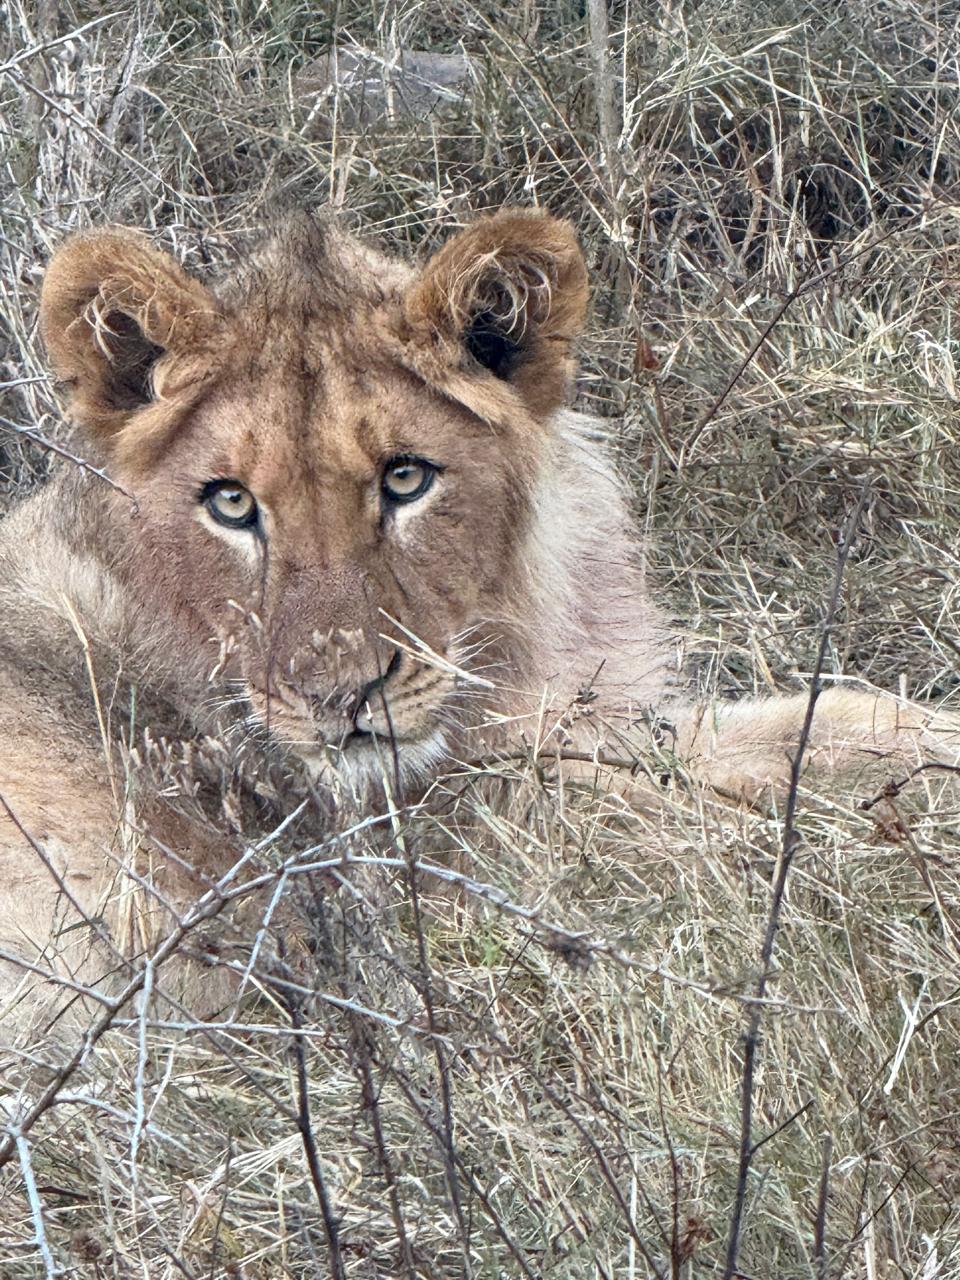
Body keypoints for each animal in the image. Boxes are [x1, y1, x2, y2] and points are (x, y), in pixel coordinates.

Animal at [1, 207, 956, 1025]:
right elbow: (742, 815)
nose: (340, 699)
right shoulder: (465, 862)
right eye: (231, 503)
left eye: (405, 478)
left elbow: (821, 726)